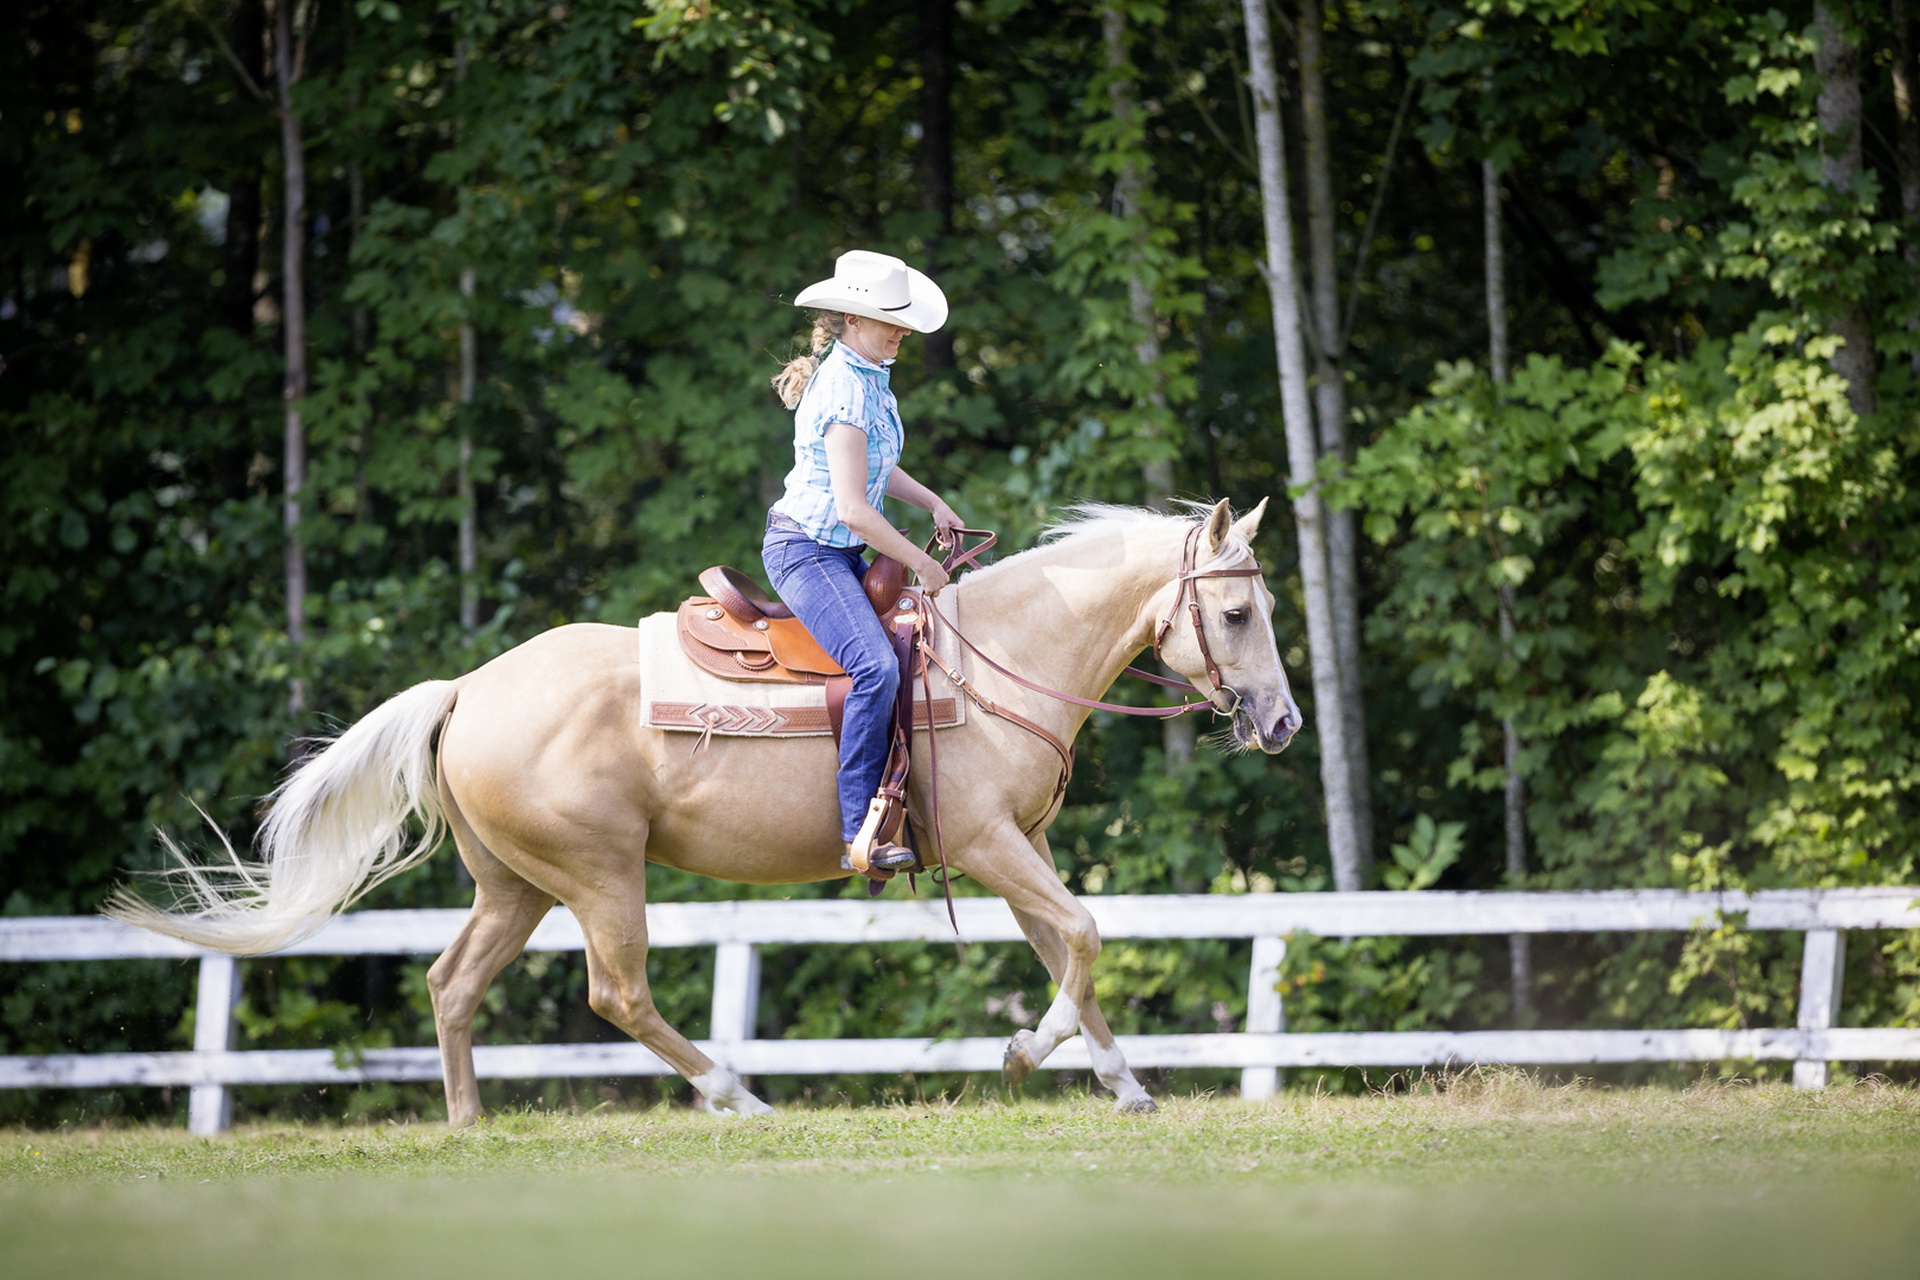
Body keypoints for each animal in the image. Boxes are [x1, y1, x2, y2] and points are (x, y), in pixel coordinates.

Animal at [108, 498, 1305, 1120]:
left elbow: (1071, 950)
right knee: (618, 991)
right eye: (1237, 612)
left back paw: (469, 1122)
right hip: (600, 875)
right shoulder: (989, 842)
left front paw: (1121, 1083)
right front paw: (1025, 1053)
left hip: (516, 887)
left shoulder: (1027, 845)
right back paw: (740, 1094)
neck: (1002, 655)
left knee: (452, 984)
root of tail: (466, 689)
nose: (1285, 722)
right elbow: (1086, 938)